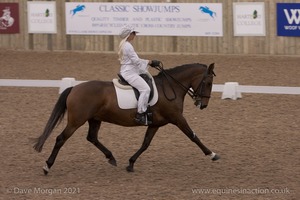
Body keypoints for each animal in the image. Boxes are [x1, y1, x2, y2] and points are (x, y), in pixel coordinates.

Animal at [33, 62, 220, 173]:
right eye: (208, 83)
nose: (203, 105)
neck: (170, 86)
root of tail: (74, 88)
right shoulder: (177, 119)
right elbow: (193, 136)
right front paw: (212, 154)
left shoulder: (155, 124)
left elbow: (145, 144)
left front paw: (130, 163)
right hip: (76, 121)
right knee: (60, 139)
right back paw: (47, 166)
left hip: (95, 119)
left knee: (92, 137)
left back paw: (111, 157)